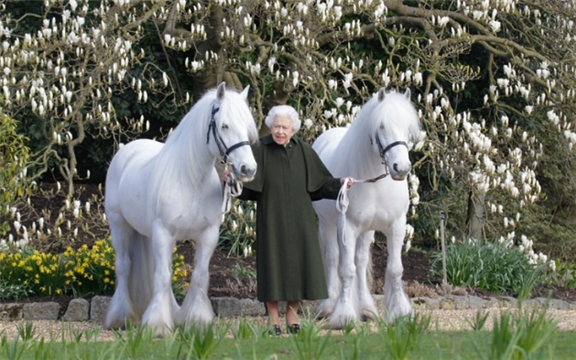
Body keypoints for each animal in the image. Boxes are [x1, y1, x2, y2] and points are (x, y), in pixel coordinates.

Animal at [102, 83, 258, 336]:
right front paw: (157, 325)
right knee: (124, 267)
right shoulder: (163, 232)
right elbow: (163, 277)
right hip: (119, 225)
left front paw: (197, 321)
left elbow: (199, 276)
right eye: (225, 125)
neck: (191, 180)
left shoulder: (208, 235)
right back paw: (120, 317)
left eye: (247, 127)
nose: (248, 169)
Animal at [310, 88, 424, 330]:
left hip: (367, 230)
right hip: (328, 224)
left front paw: (400, 312)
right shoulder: (347, 227)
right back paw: (328, 306)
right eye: (381, 126)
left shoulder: (396, 225)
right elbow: (346, 270)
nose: (401, 168)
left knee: (361, 262)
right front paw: (344, 315)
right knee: (333, 259)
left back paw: (366, 309)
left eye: (408, 127)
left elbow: (394, 269)